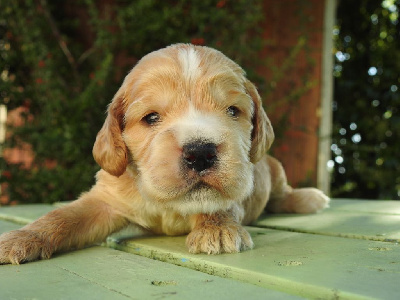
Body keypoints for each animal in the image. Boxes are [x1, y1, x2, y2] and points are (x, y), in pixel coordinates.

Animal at [0, 43, 328, 264]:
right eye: (151, 118)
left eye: (233, 111)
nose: (200, 153)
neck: (169, 204)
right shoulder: (106, 200)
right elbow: (62, 215)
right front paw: (22, 238)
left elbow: (220, 202)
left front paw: (217, 228)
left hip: (274, 168)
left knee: (283, 194)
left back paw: (311, 198)